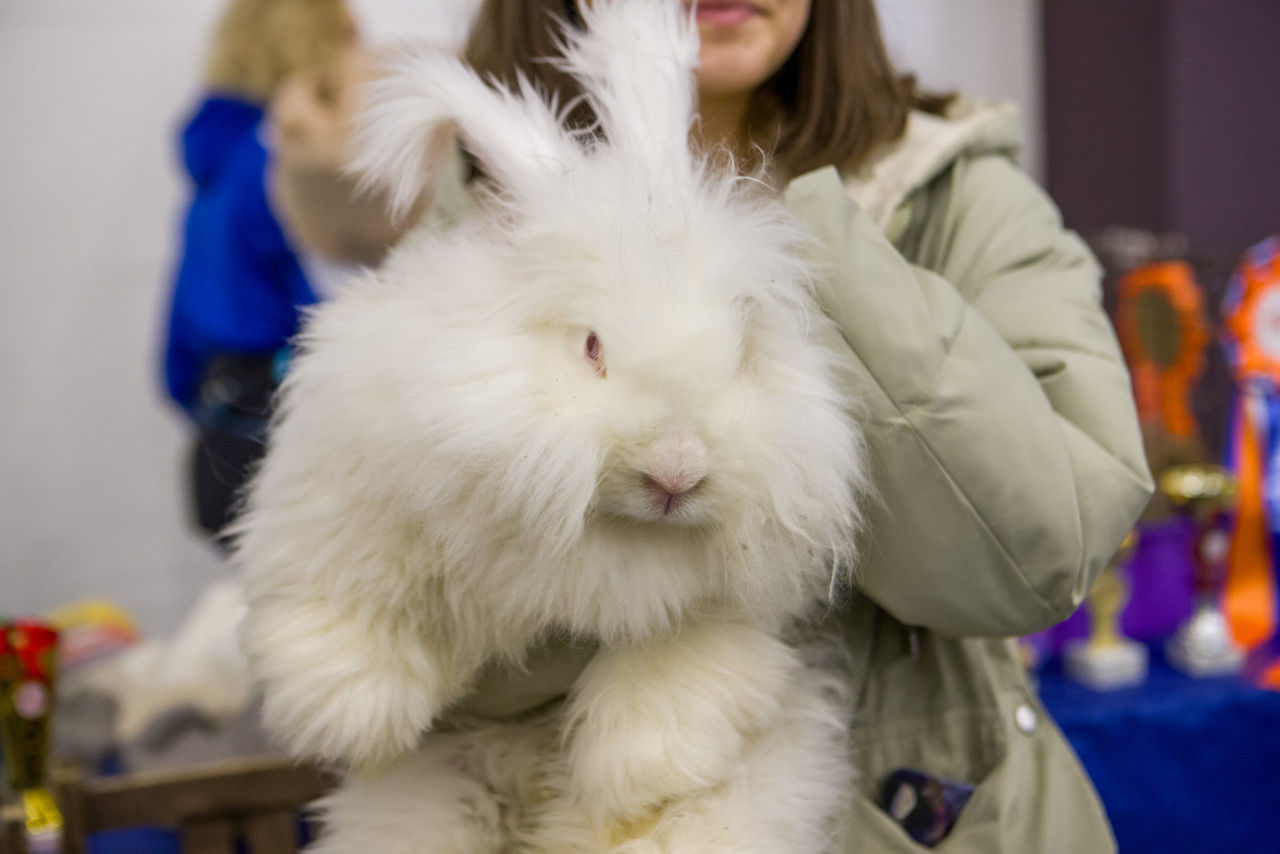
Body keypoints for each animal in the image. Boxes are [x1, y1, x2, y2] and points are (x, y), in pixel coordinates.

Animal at [235, 3, 870, 850]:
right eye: (592, 347)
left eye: (742, 351)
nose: (676, 471)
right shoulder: (342, 487)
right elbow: (344, 587)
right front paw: (350, 714)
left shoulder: (723, 606)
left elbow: (680, 664)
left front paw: (641, 774)